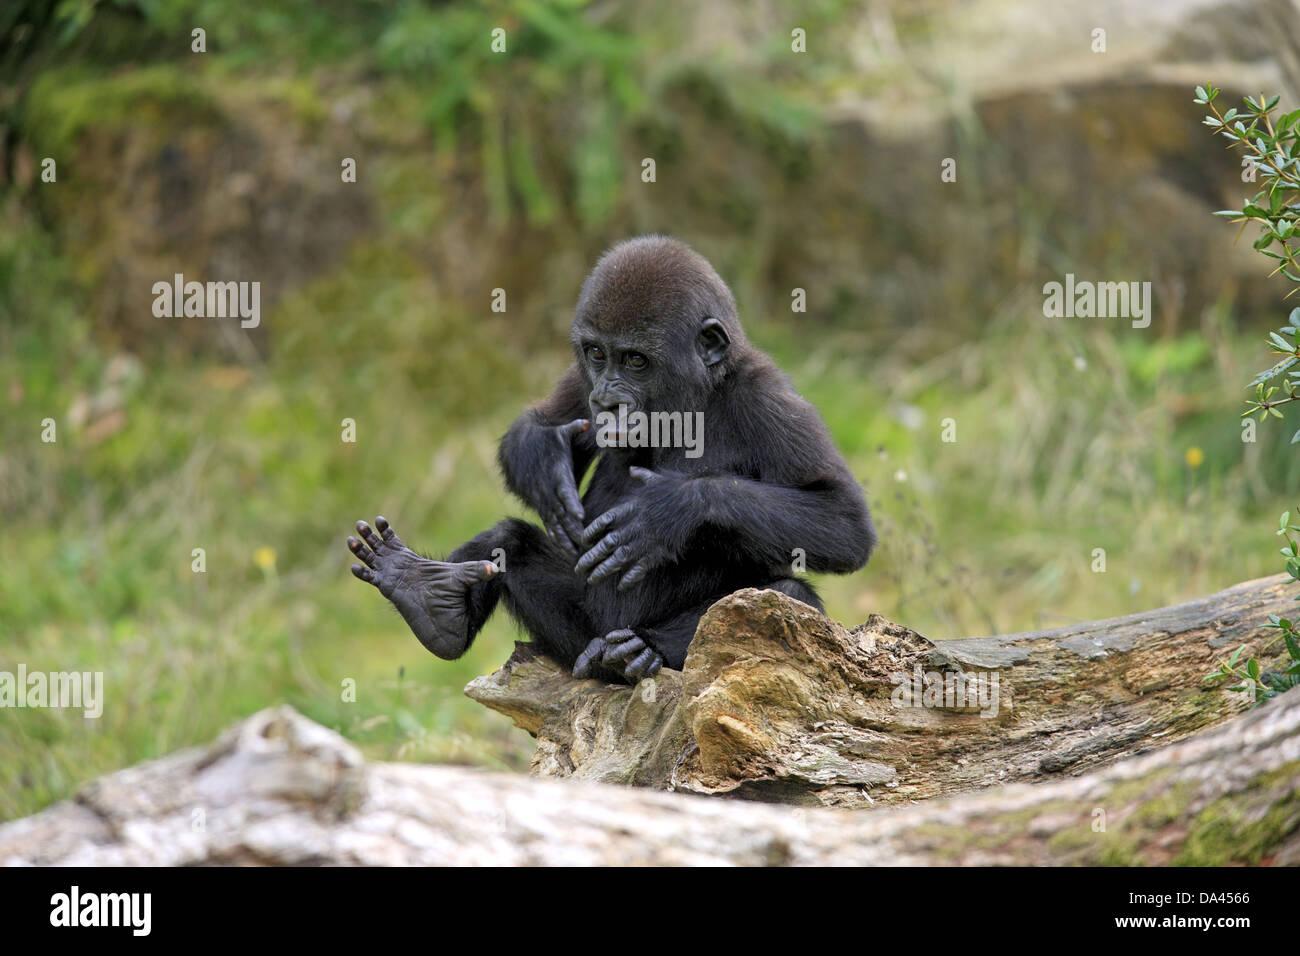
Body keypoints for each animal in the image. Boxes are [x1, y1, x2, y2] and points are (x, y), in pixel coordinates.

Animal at [348, 235, 873, 686]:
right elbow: (533, 426)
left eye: (636, 361)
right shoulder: (582, 380)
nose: (607, 401)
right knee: (508, 542)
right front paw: (547, 467)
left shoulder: (765, 398)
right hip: (578, 640)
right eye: (597, 354)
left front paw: (667, 511)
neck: (698, 394)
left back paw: (645, 649)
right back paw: (430, 601)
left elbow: (843, 522)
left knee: (783, 597)